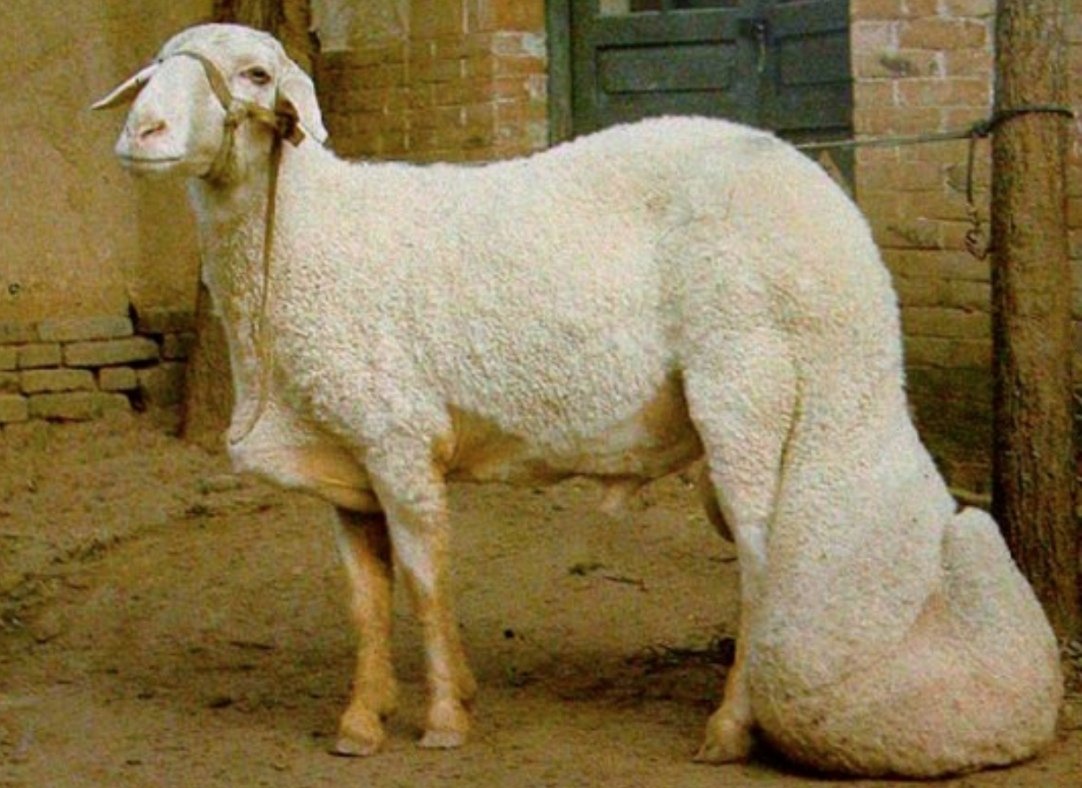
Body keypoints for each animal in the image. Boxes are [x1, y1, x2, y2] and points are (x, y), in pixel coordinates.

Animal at [93, 23, 1062, 776]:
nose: (142, 131)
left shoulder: (399, 432)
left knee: (760, 563)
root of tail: (832, 208)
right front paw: (363, 721)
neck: (304, 236)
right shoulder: (347, 454)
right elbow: (367, 600)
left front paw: (443, 719)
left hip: (749, 384)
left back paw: (729, 729)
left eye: (256, 75)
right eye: (153, 69)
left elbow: (426, 581)